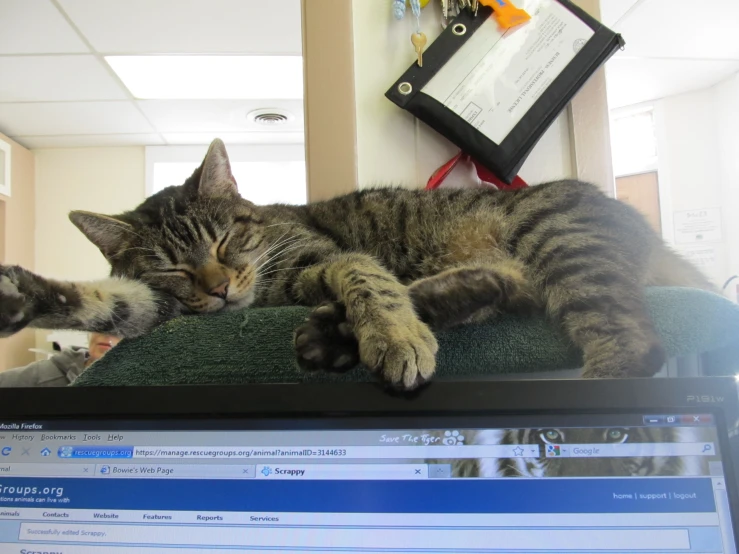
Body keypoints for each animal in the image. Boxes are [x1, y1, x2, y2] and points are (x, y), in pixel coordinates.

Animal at [0, 138, 712, 388]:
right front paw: (24, 293)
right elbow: (105, 301)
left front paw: (392, 333)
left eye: (225, 244)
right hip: (525, 265)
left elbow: (367, 277)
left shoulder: (329, 256)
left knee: (629, 345)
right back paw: (333, 336)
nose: (221, 289)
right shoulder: (164, 307)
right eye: (174, 269)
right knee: (508, 289)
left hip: (557, 238)